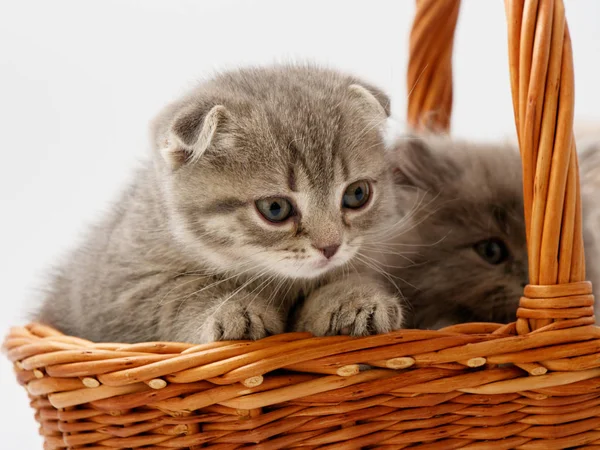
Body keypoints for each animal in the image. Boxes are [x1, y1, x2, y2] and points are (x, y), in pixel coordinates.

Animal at [36, 65, 404, 342]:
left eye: (357, 195)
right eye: (275, 209)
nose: (330, 246)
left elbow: (354, 272)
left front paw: (353, 297)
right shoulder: (117, 293)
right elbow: (180, 294)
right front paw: (233, 309)